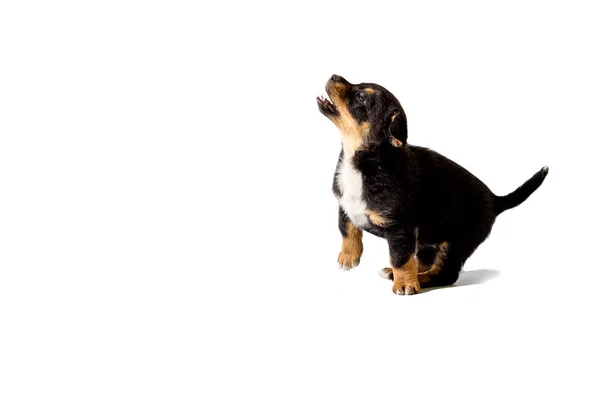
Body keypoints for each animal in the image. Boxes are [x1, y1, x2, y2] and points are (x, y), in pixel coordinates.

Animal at [318, 74, 548, 294]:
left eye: (361, 97)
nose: (334, 75)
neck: (362, 162)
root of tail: (495, 199)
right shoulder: (344, 203)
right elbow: (346, 228)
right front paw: (348, 257)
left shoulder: (400, 228)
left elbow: (400, 257)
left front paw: (405, 285)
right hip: (430, 240)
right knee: (424, 262)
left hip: (456, 243)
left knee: (445, 274)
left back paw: (413, 279)